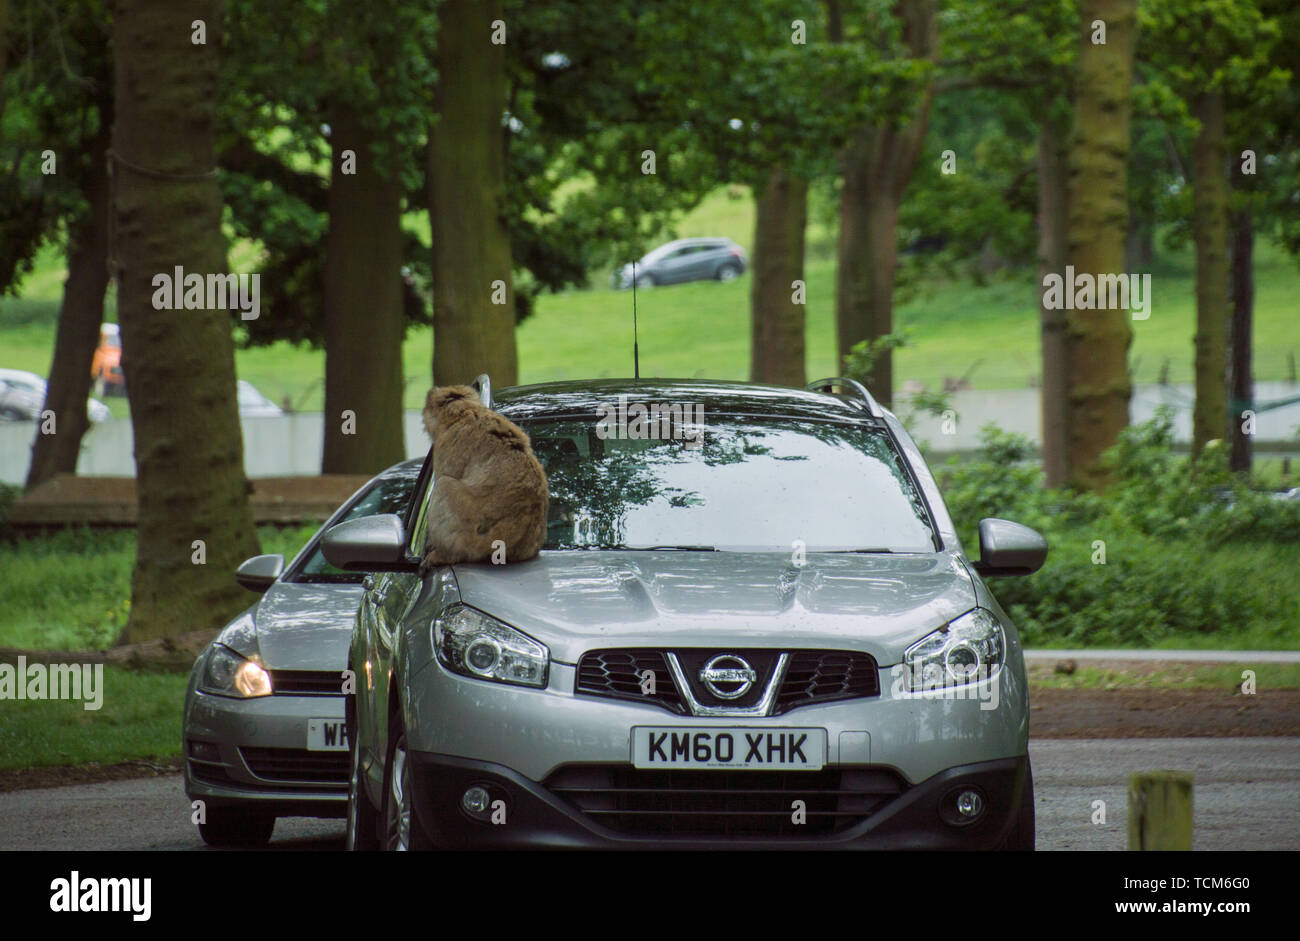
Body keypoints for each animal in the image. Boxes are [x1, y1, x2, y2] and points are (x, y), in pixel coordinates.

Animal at [421, 382, 548, 566]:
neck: (465, 410)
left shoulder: (447, 444)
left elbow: (444, 475)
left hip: (469, 535)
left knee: (444, 484)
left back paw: (445, 555)